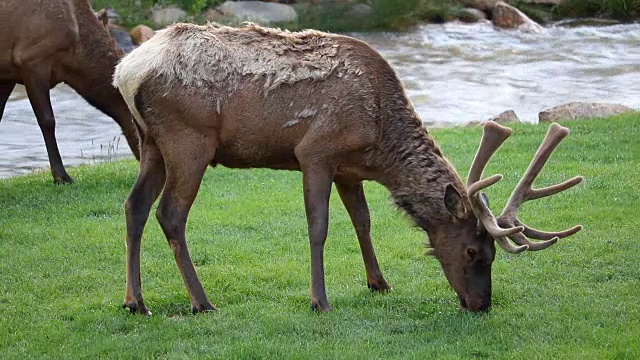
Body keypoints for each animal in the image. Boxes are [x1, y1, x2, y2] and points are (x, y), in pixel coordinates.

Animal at [112, 22, 584, 316]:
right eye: (473, 251)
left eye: (492, 255)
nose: (480, 304)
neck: (379, 142)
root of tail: (125, 71)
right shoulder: (316, 151)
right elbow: (319, 226)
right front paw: (319, 300)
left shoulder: (349, 169)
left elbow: (363, 220)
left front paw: (379, 282)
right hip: (188, 139)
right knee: (170, 214)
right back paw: (202, 301)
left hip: (151, 143)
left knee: (134, 206)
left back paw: (136, 301)